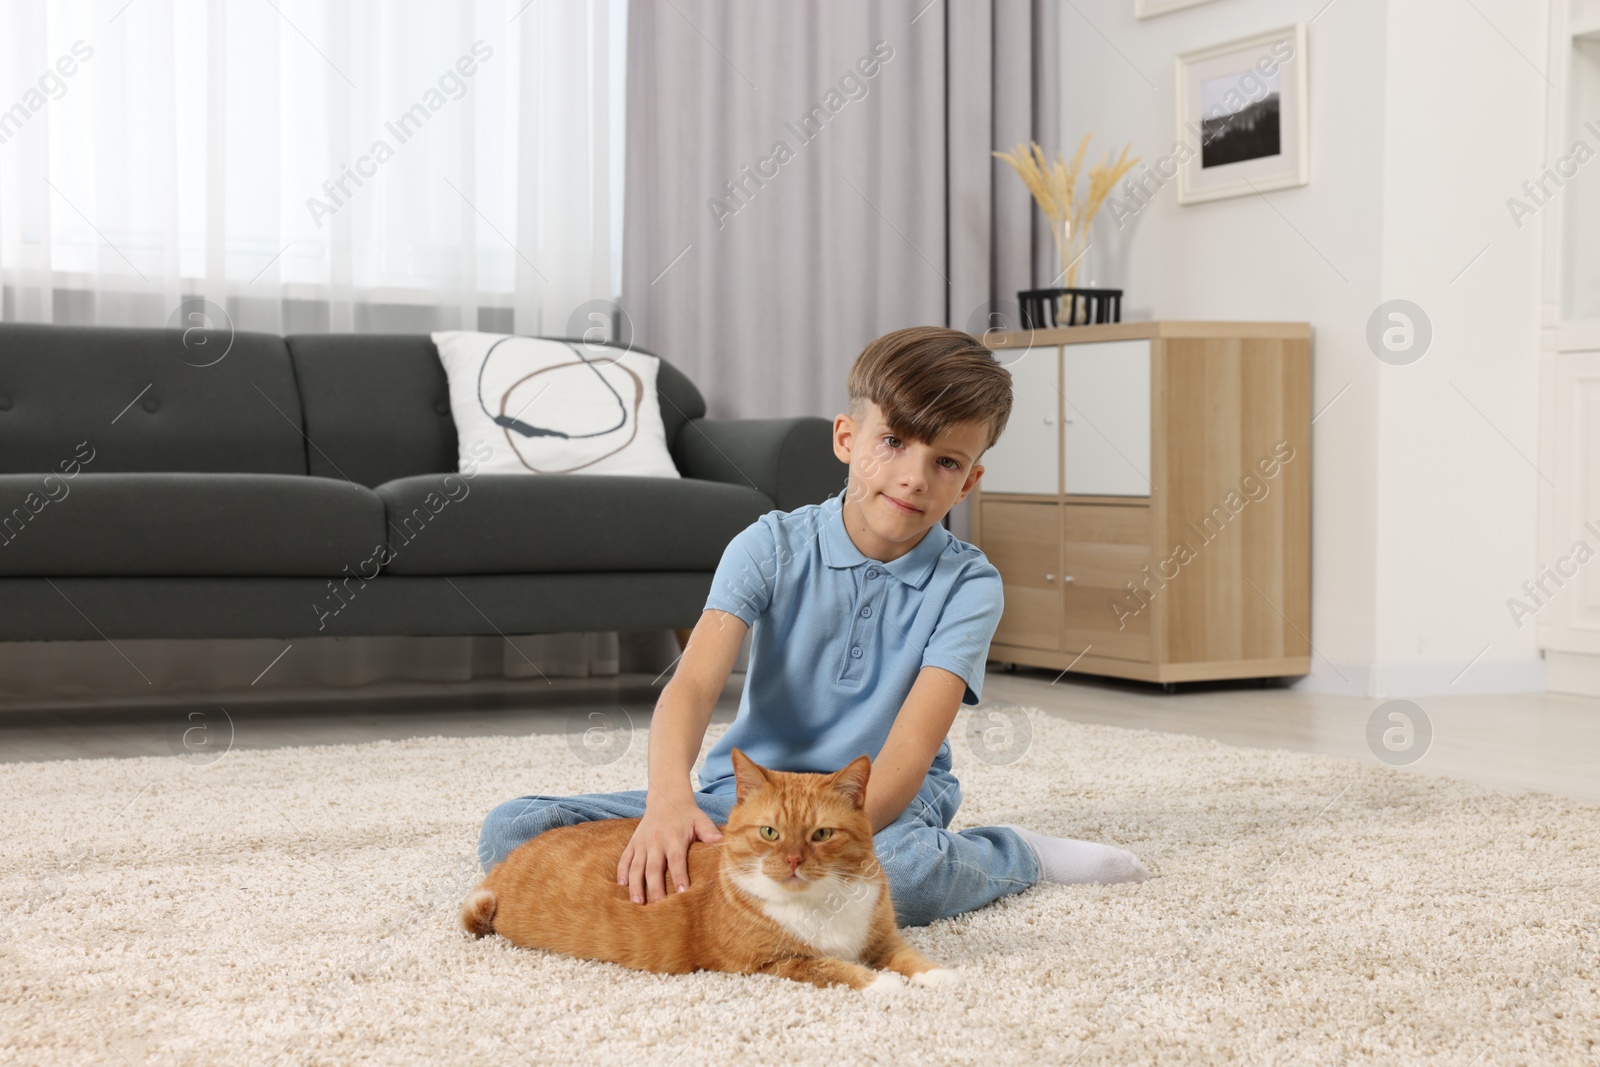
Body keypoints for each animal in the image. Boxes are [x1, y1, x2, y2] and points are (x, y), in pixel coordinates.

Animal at [464, 748, 960, 998]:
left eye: (821, 834)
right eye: (770, 833)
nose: (794, 861)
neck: (821, 902)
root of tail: (501, 871)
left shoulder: (882, 940)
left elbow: (909, 958)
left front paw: (937, 977)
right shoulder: (775, 963)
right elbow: (838, 969)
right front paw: (883, 984)